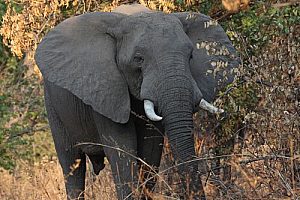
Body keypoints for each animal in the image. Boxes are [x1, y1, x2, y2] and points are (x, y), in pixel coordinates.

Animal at [34, 3, 239, 200]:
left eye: (190, 56)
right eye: (138, 59)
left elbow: (150, 151)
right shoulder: (106, 90)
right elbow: (123, 151)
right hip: (52, 104)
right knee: (72, 164)